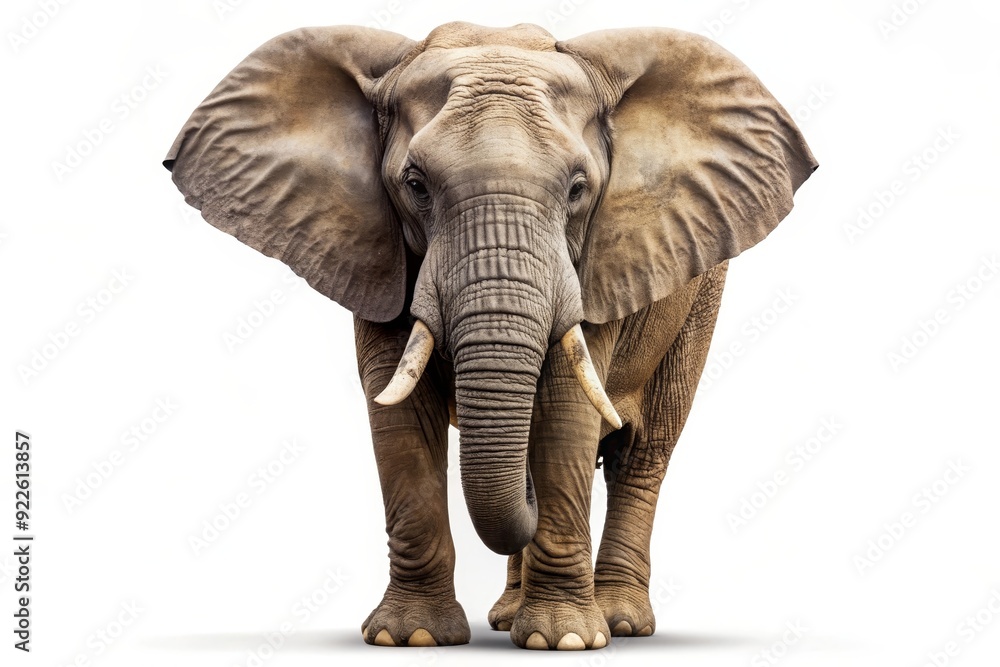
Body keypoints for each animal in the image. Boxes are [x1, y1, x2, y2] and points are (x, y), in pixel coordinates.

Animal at [163, 21, 816, 650]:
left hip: (698, 301)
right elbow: (401, 415)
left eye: (578, 189)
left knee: (643, 449)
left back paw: (622, 622)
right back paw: (506, 616)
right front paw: (410, 636)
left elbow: (565, 410)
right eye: (416, 185)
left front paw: (567, 639)